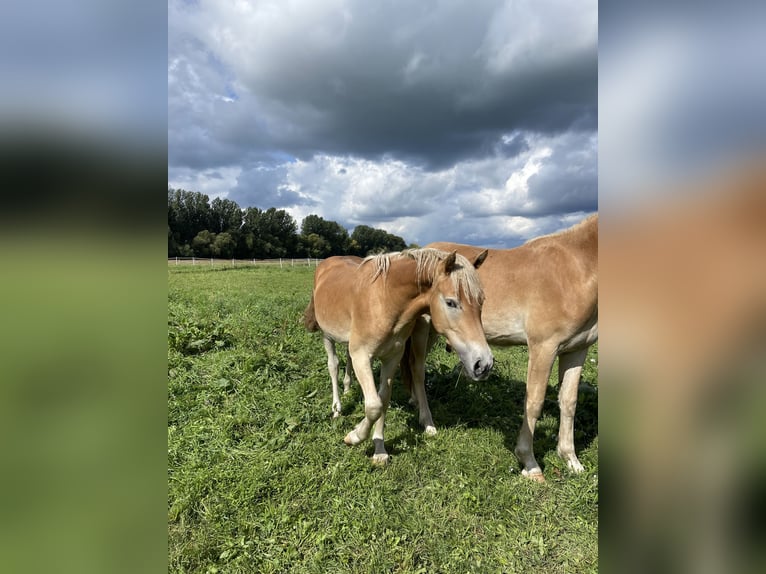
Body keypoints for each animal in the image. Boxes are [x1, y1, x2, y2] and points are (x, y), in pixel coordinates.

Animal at [304, 250, 496, 466]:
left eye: (482, 301)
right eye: (450, 302)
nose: (484, 364)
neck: (385, 300)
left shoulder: (392, 357)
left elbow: (383, 400)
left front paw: (379, 450)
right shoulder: (362, 356)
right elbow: (374, 405)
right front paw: (354, 437)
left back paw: (347, 388)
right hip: (327, 335)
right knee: (333, 365)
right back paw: (337, 408)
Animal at [402, 216, 600, 482]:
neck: (574, 269)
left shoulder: (577, 350)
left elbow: (569, 402)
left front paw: (571, 460)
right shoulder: (543, 348)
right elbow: (534, 403)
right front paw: (529, 463)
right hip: (423, 330)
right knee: (417, 369)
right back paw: (427, 422)